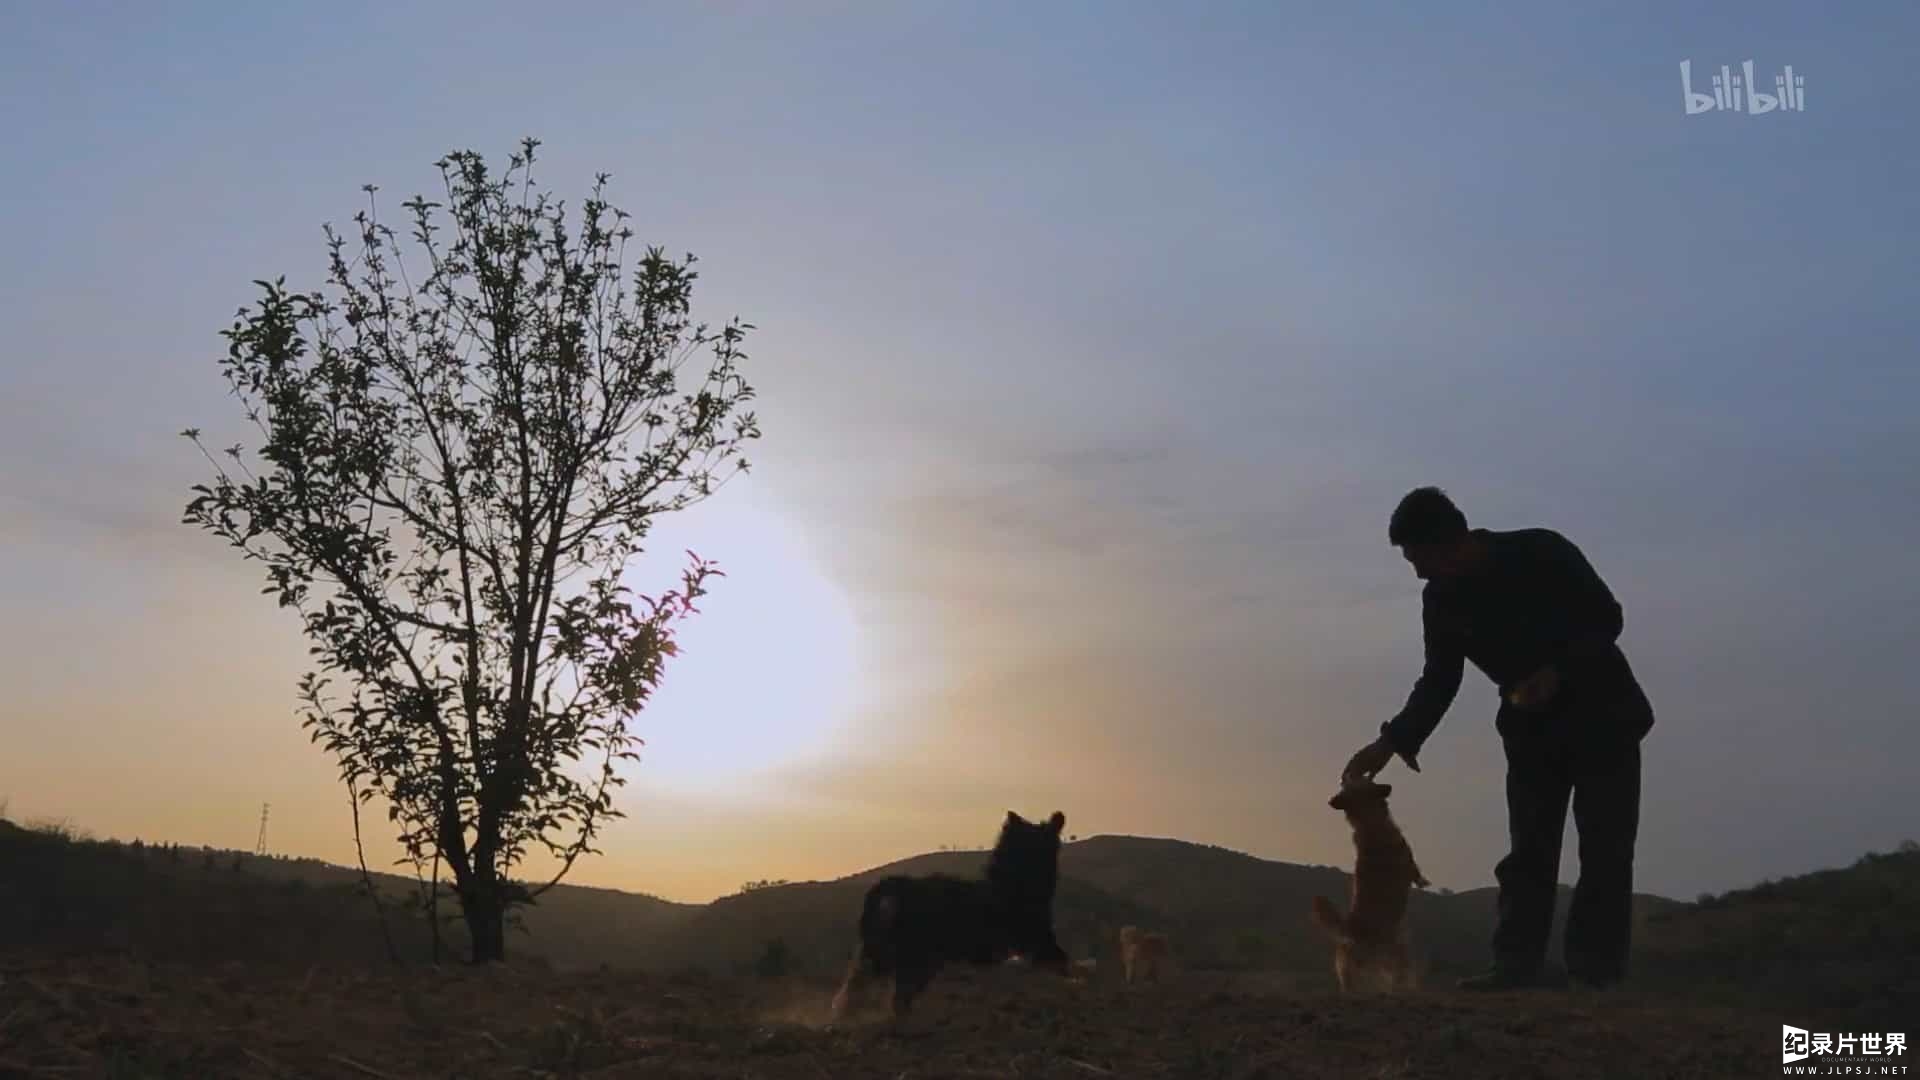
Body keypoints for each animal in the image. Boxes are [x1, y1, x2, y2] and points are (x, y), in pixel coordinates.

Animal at [825, 807, 1067, 1014]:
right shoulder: (1038, 938)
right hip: (908, 956)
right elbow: (1061, 961)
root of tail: (898, 886)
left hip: (906, 956)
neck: (1014, 883)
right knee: (879, 990)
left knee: (876, 987)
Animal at [1305, 772, 1428, 991]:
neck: (1369, 821)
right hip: (1396, 951)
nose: (1388, 786)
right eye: (1369, 782)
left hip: (1353, 968)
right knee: (1398, 975)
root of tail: (1350, 933)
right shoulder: (1407, 860)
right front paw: (1423, 882)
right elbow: (1416, 872)